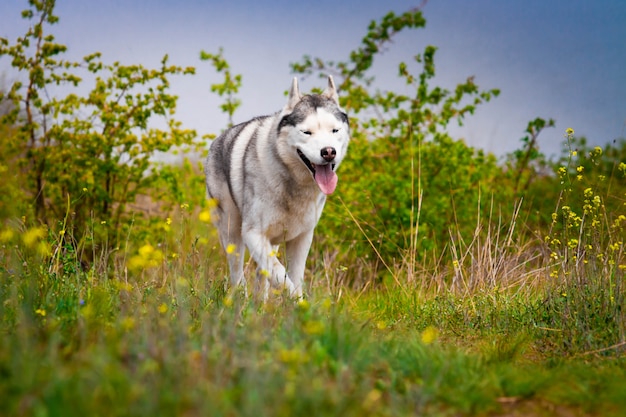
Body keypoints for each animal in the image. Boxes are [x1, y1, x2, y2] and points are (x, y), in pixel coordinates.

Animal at [206, 75, 348, 300]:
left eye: (335, 130)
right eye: (306, 132)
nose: (328, 152)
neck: (293, 181)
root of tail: (218, 139)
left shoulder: (302, 238)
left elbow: (292, 277)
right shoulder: (253, 234)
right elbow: (282, 276)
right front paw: (297, 302)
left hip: (271, 240)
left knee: (260, 274)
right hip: (232, 233)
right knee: (238, 273)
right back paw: (240, 301)